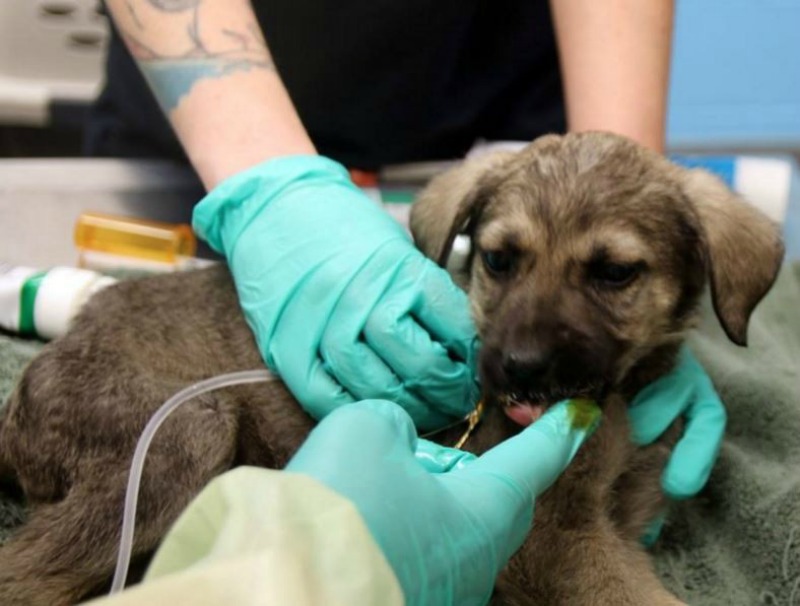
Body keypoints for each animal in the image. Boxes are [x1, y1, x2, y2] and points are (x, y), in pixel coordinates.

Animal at [0, 132, 780, 604]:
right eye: (499, 259)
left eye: (615, 273)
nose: (516, 369)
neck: (622, 396)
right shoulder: (553, 539)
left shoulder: (621, 519)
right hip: (181, 431)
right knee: (26, 574)